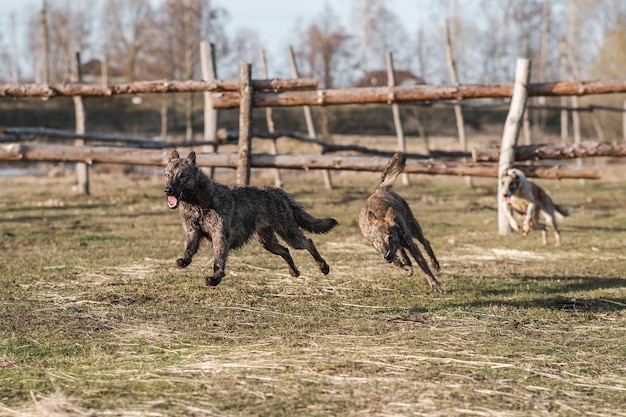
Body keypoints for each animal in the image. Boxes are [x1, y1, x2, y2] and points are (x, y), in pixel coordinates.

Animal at [358, 151, 442, 290]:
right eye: (378, 241)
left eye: (390, 238)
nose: (387, 256)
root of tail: (379, 189)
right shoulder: (380, 249)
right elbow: (395, 263)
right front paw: (405, 269)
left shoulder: (411, 245)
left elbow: (424, 267)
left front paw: (435, 285)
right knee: (401, 250)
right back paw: (405, 261)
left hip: (414, 228)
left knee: (426, 243)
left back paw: (435, 264)